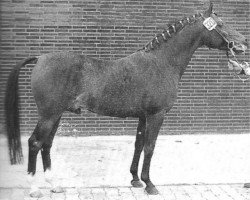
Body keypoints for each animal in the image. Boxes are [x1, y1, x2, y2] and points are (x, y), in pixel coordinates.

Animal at [4, 2, 248, 198]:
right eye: (221, 23)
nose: (243, 41)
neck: (161, 62)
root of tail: (41, 57)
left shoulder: (143, 116)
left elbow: (138, 145)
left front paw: (135, 180)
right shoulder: (156, 115)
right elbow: (150, 146)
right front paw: (150, 184)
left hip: (56, 115)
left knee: (47, 145)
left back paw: (53, 185)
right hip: (49, 115)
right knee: (35, 143)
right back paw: (34, 188)